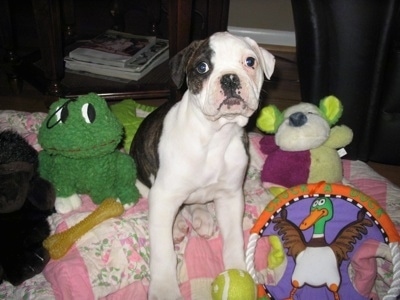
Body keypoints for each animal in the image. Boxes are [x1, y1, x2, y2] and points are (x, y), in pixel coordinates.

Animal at [131, 31, 276, 298]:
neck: (215, 135)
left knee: (194, 203)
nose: (230, 78)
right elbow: (163, 251)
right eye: (202, 67)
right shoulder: (164, 195)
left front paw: (240, 271)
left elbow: (234, 240)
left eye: (250, 62)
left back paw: (202, 217)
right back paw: (178, 225)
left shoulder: (230, 197)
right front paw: (164, 288)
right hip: (145, 181)